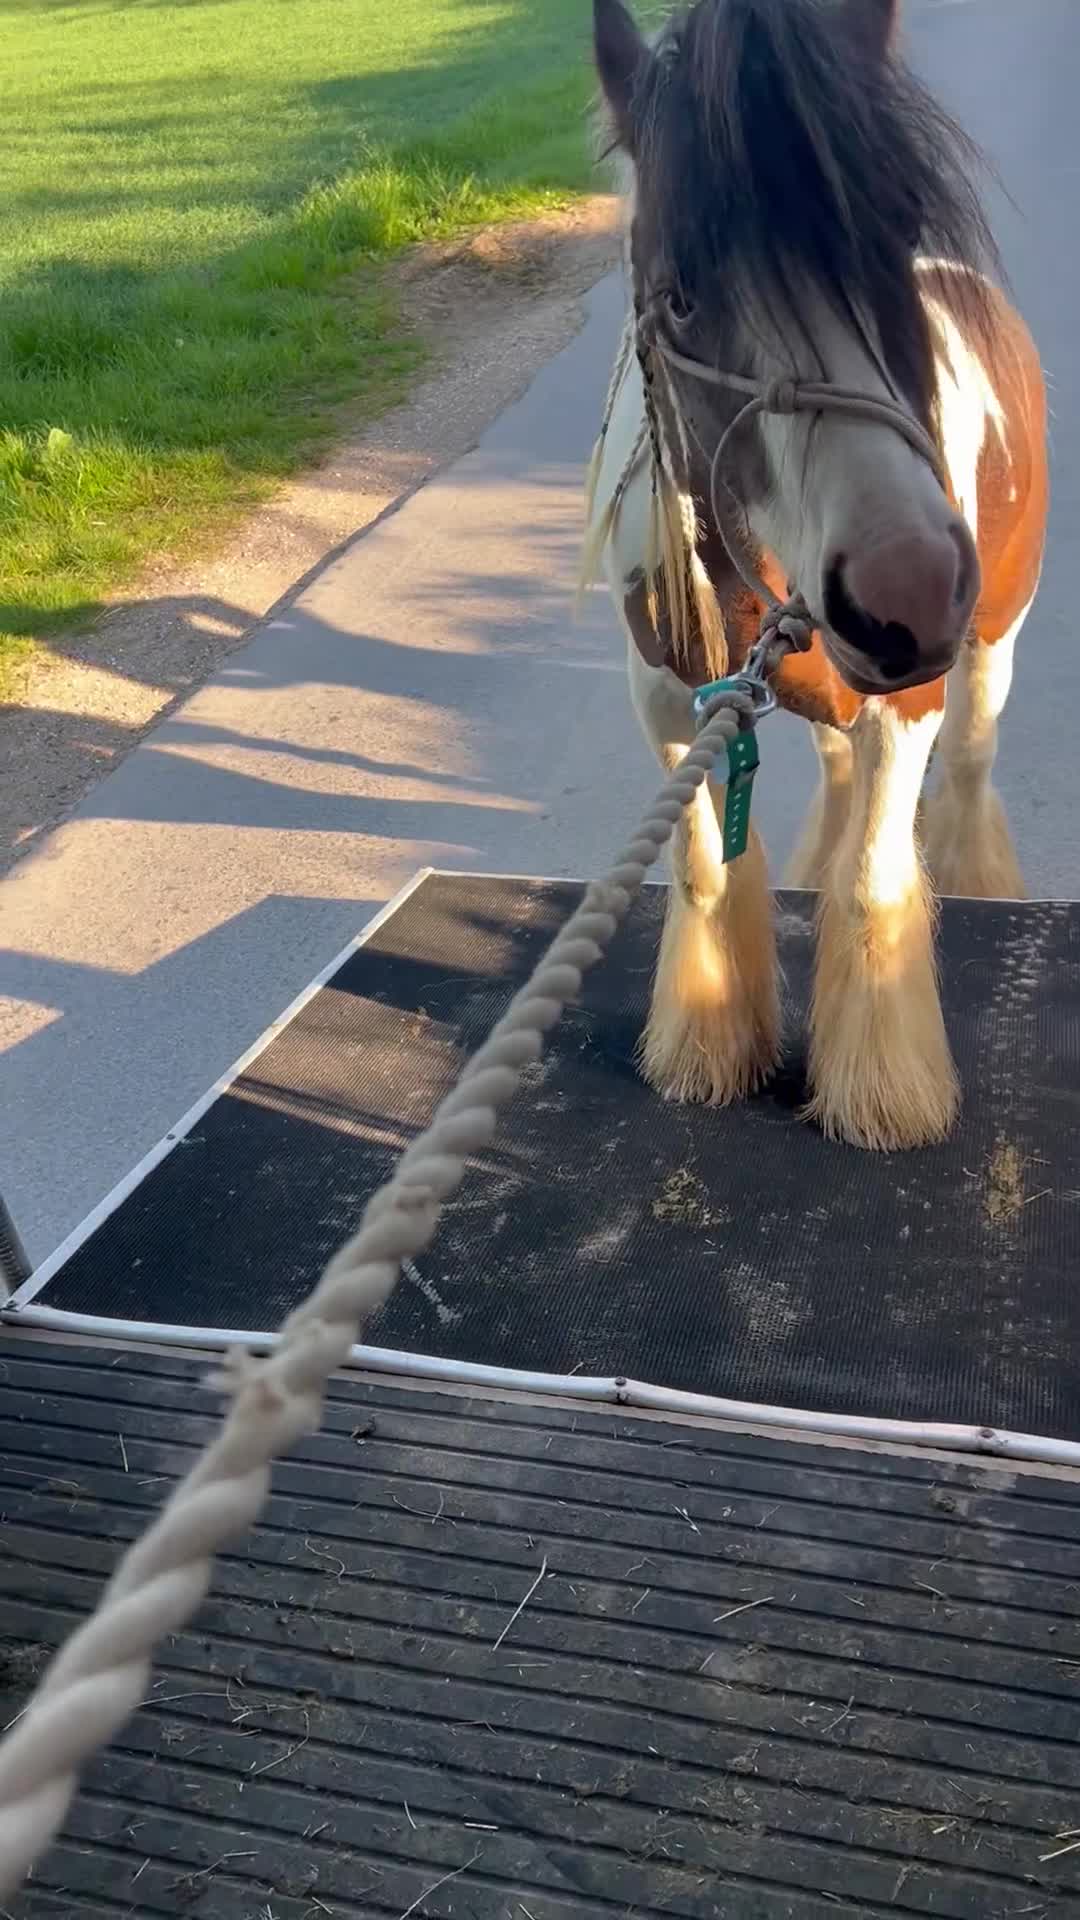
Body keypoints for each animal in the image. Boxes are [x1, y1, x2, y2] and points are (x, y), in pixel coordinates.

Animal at [583, 0, 1048, 1152]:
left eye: (883, 255)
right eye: (680, 297)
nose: (908, 596)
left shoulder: (910, 701)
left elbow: (877, 885)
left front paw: (881, 1088)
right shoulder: (670, 705)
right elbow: (705, 869)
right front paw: (707, 1044)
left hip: (996, 643)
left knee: (969, 768)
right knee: (839, 775)